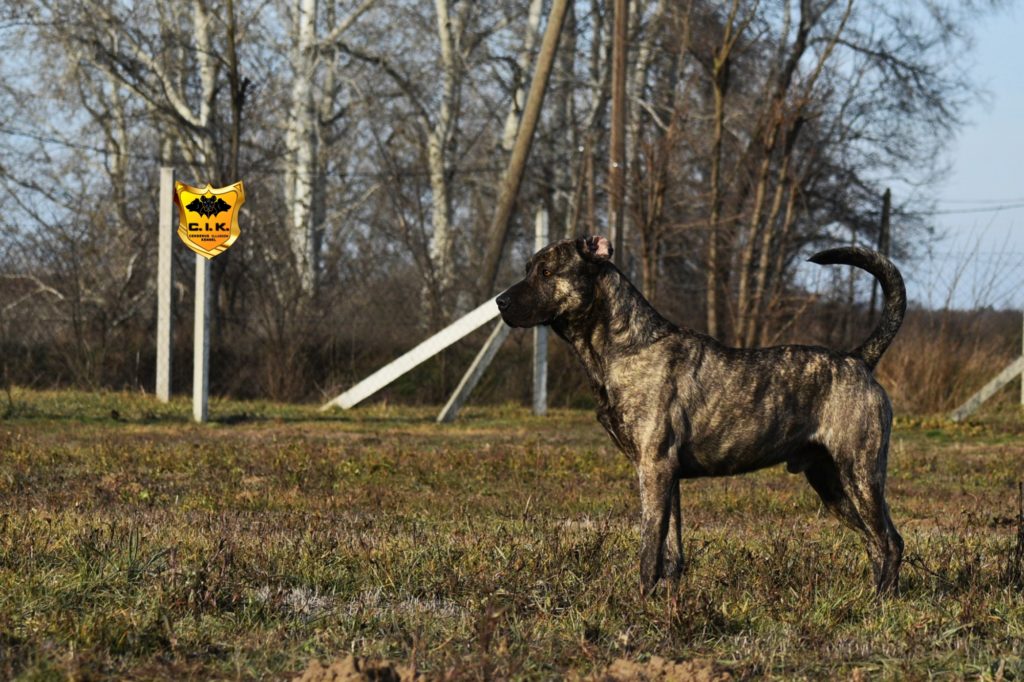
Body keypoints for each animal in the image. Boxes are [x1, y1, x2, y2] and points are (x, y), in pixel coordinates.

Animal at [495, 235, 905, 593]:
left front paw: (640, 601)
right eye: (530, 268)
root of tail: (859, 359)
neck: (627, 346)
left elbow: (649, 552)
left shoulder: (654, 468)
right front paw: (667, 601)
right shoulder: (668, 475)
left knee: (887, 542)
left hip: (859, 475)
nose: (500, 301)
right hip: (832, 484)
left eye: (547, 272)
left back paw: (878, 603)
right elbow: (672, 552)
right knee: (881, 541)